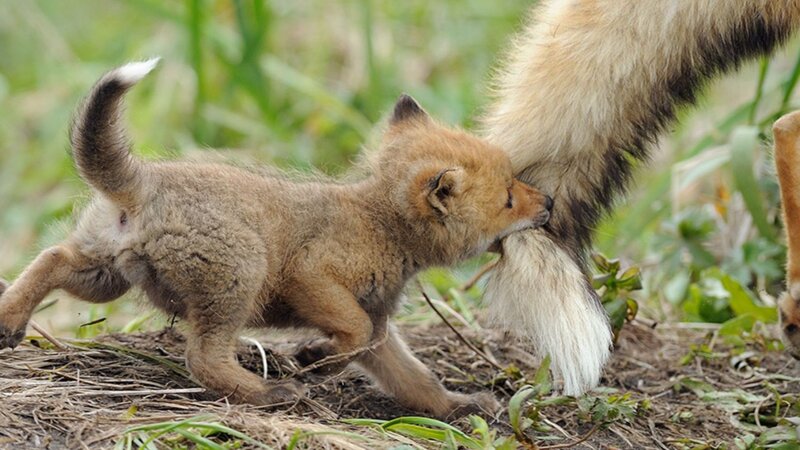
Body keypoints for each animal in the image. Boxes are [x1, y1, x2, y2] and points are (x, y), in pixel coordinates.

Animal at [0, 59, 554, 417]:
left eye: (515, 185)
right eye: (509, 198)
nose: (549, 203)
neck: (379, 223)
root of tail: (144, 180)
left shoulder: (379, 326)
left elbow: (415, 380)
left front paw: (458, 407)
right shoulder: (312, 278)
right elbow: (350, 332)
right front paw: (314, 361)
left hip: (105, 273)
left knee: (51, 256)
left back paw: (9, 320)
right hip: (241, 274)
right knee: (202, 357)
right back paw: (267, 395)